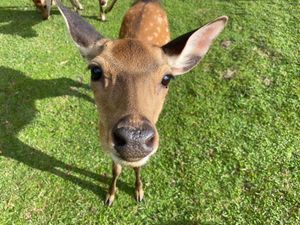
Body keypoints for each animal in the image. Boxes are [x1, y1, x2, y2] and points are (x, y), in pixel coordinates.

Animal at [55, 0, 227, 205]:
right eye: (95, 70)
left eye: (167, 78)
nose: (135, 138)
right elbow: (116, 168)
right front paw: (110, 195)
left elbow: (138, 167)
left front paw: (139, 192)